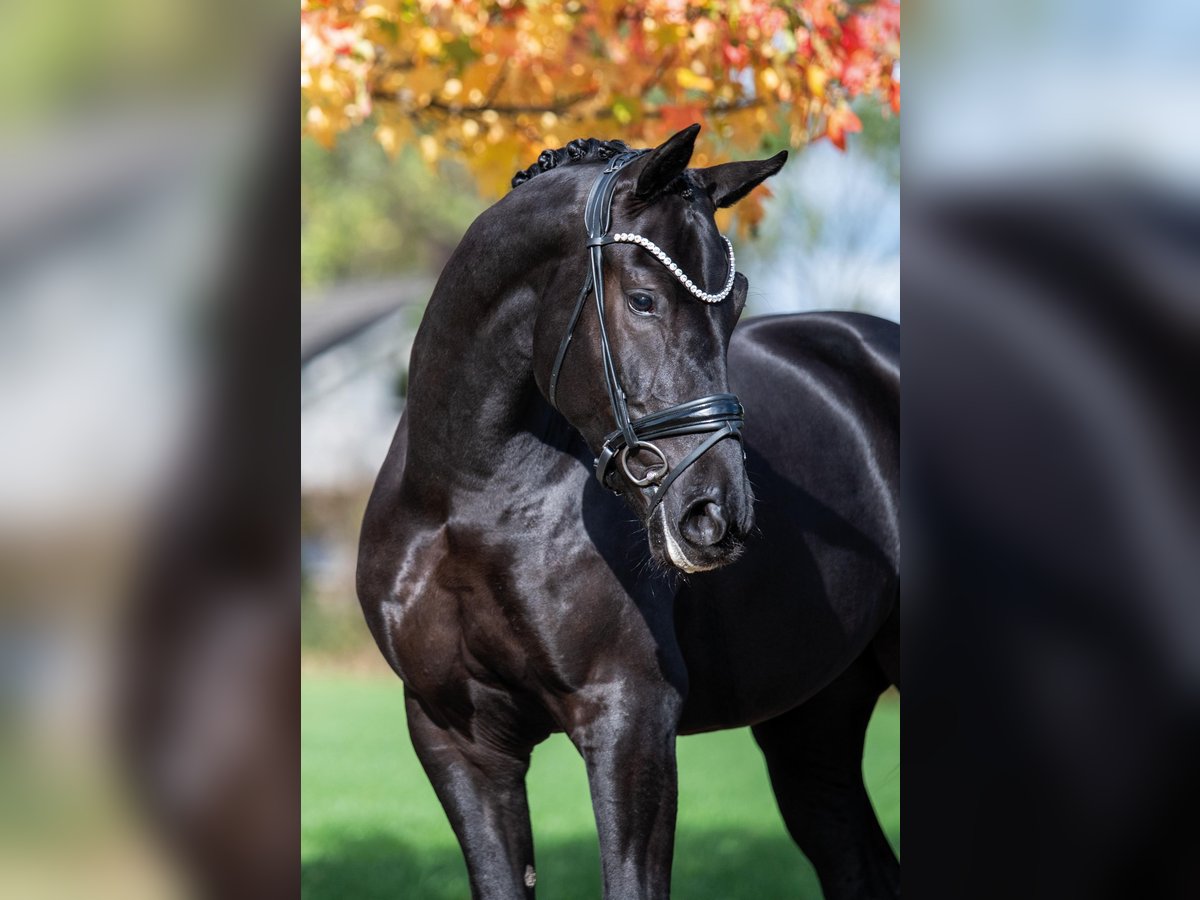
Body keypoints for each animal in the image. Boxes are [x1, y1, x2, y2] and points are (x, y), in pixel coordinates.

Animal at [357, 124, 899, 899]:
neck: (466, 497)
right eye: (643, 300)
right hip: (813, 722)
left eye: (735, 306)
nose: (715, 516)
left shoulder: (630, 722)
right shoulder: (459, 739)